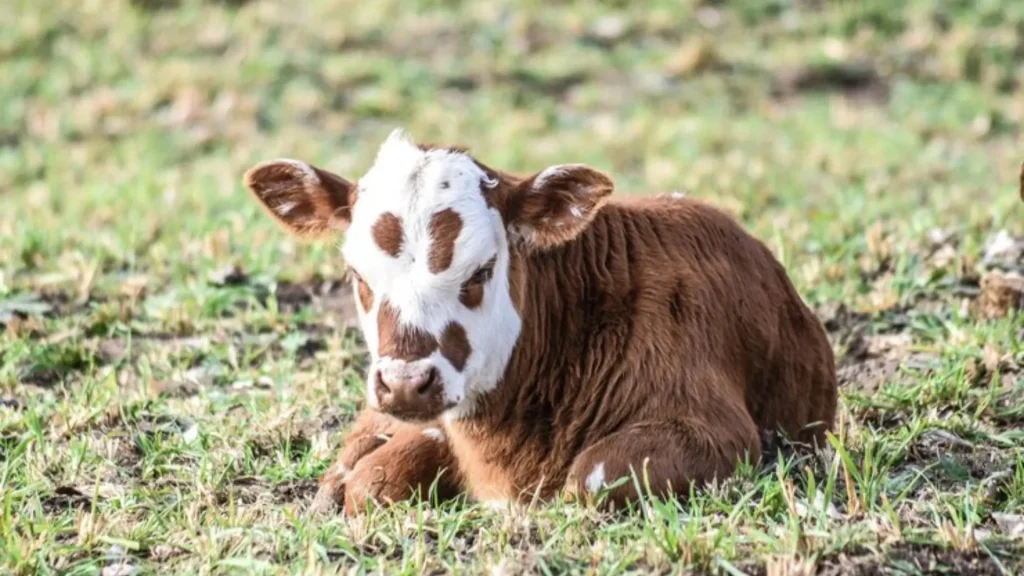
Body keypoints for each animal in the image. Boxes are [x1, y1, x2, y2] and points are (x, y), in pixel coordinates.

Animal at [242, 129, 838, 514]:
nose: (407, 383)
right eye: (357, 274)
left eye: (482, 269)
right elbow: (374, 478)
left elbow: (592, 477)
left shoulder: (717, 429)